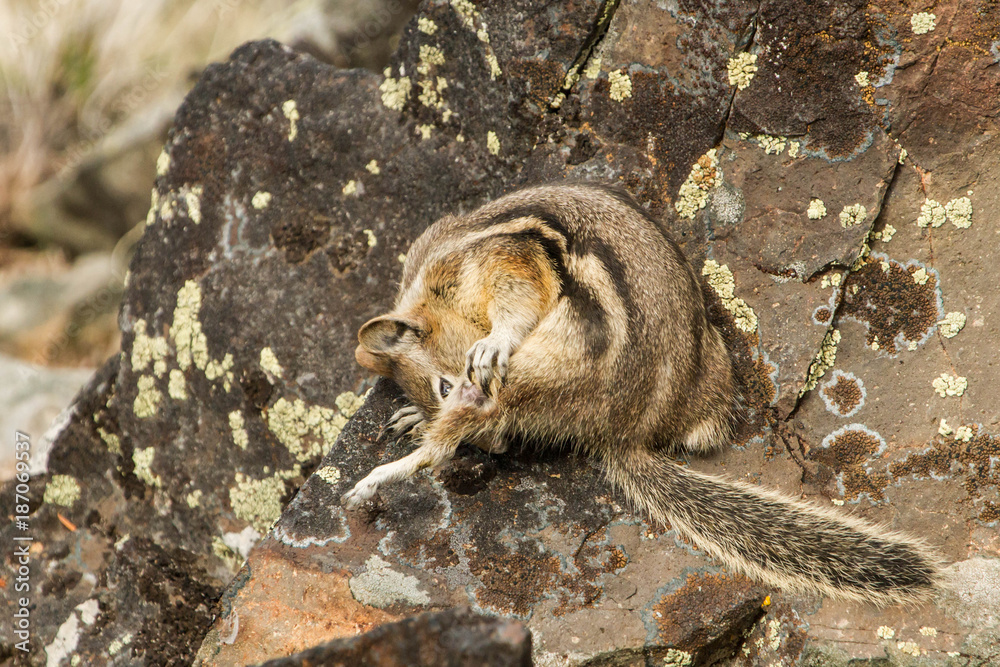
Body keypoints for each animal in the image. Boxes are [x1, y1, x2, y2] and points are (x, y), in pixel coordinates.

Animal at [342, 182, 942, 606]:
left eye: (443, 384)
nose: (497, 449)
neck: (433, 283)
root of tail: (624, 430)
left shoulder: (503, 263)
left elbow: (512, 307)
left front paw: (490, 343)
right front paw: (409, 414)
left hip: (554, 359)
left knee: (463, 433)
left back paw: (380, 476)